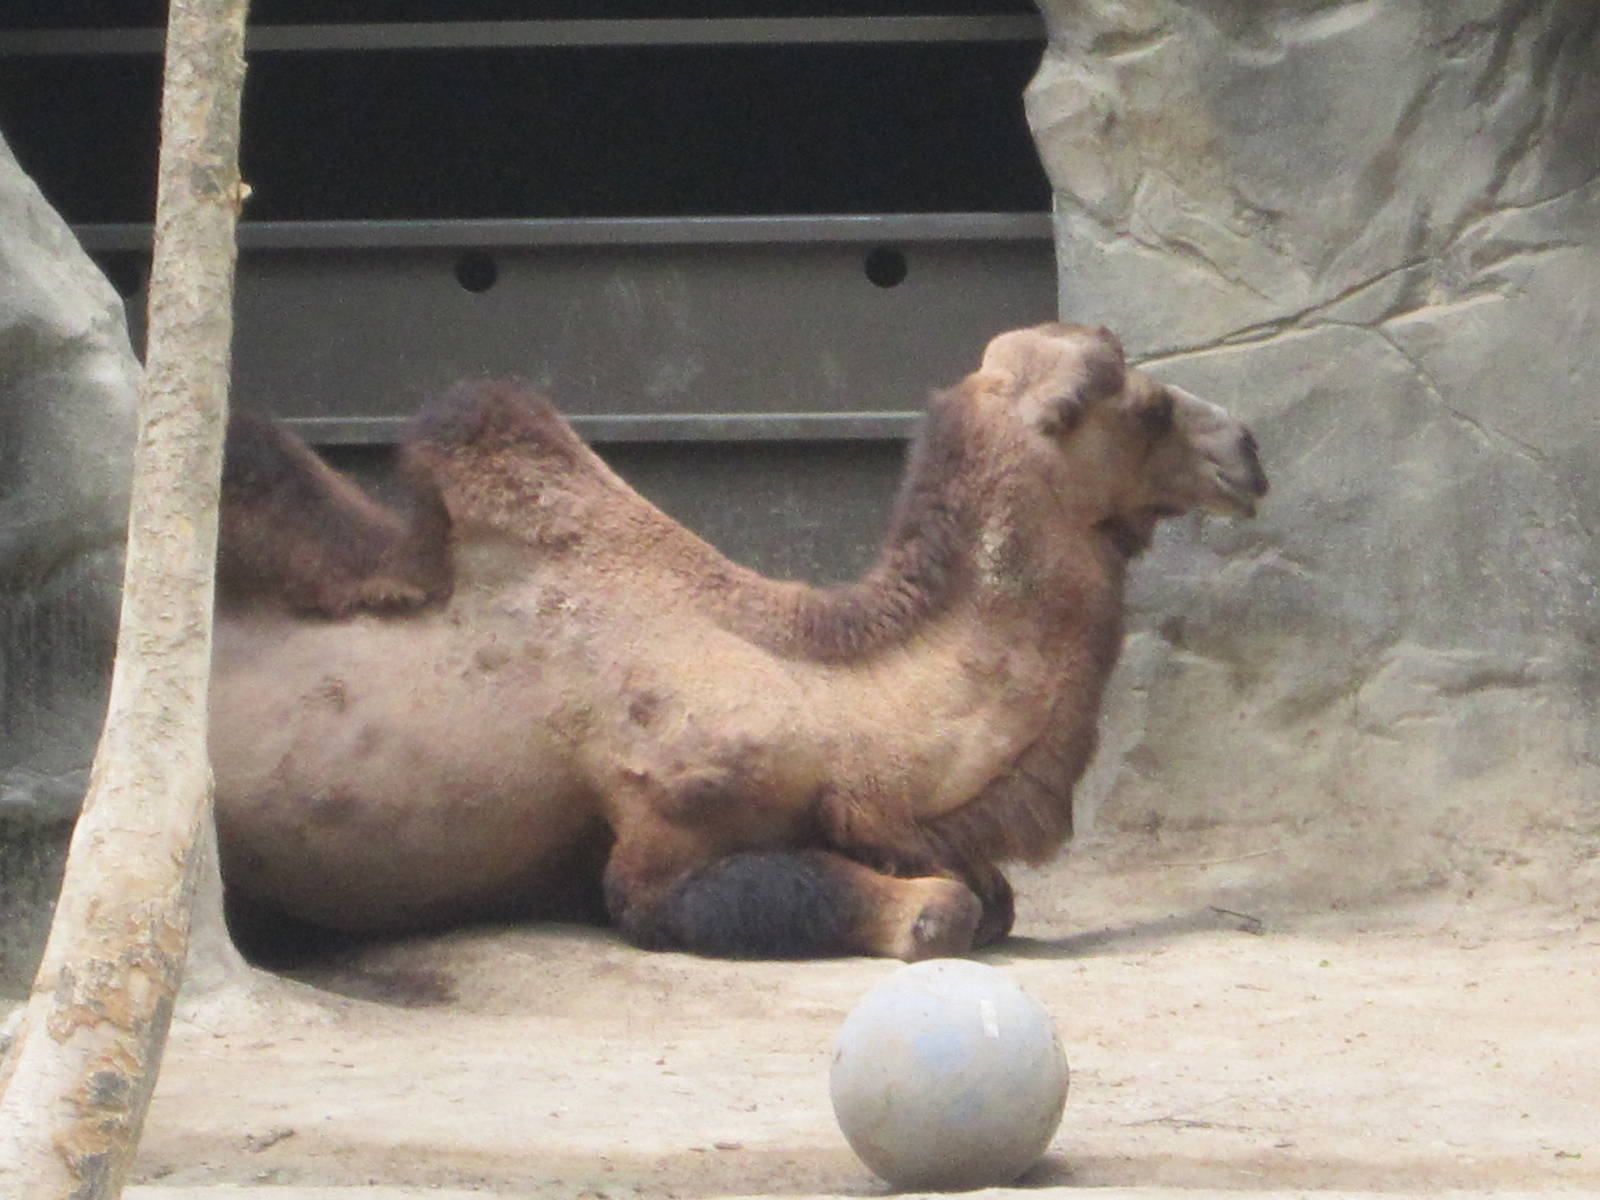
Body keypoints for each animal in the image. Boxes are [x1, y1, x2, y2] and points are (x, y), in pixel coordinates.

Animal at [209, 323, 1268, 961]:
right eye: (1146, 406)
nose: (1249, 449)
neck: (830, 698)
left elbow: (991, 892)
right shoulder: (662, 842)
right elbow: (943, 909)